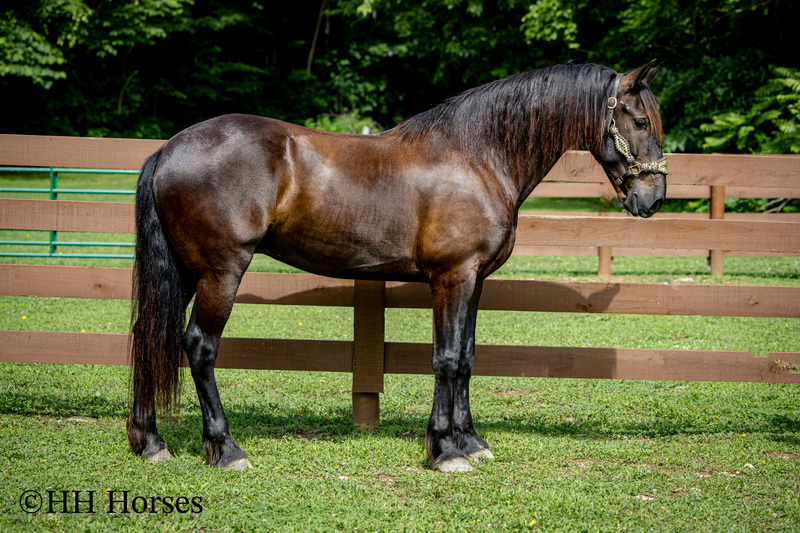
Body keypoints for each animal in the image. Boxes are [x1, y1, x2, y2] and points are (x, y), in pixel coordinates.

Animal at [127, 60, 667, 472]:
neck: (477, 156)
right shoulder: (452, 277)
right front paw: (445, 451)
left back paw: (151, 443)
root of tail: (168, 148)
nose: (655, 198)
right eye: (640, 122)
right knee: (199, 346)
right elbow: (446, 359)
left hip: (185, 273)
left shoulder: (474, 281)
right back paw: (226, 450)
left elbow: (467, 357)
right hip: (220, 273)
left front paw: (472, 442)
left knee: (148, 334)